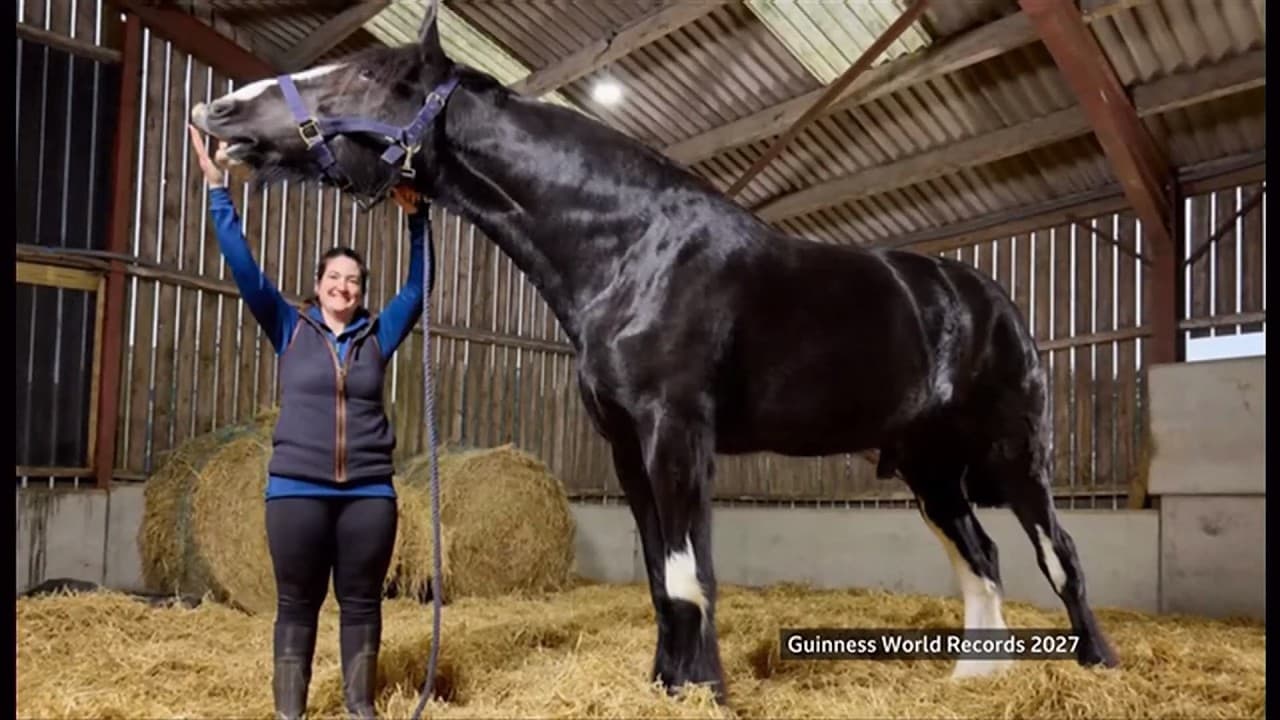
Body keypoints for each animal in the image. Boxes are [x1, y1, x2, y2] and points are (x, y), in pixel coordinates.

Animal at [189, 1, 1118, 702]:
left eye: (366, 78)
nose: (216, 113)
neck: (633, 249)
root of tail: (991, 300)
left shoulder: (678, 433)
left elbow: (685, 571)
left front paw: (703, 689)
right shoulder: (627, 446)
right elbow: (657, 573)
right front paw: (669, 683)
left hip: (1016, 456)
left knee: (1059, 553)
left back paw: (1095, 663)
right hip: (930, 470)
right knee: (982, 555)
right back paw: (975, 678)